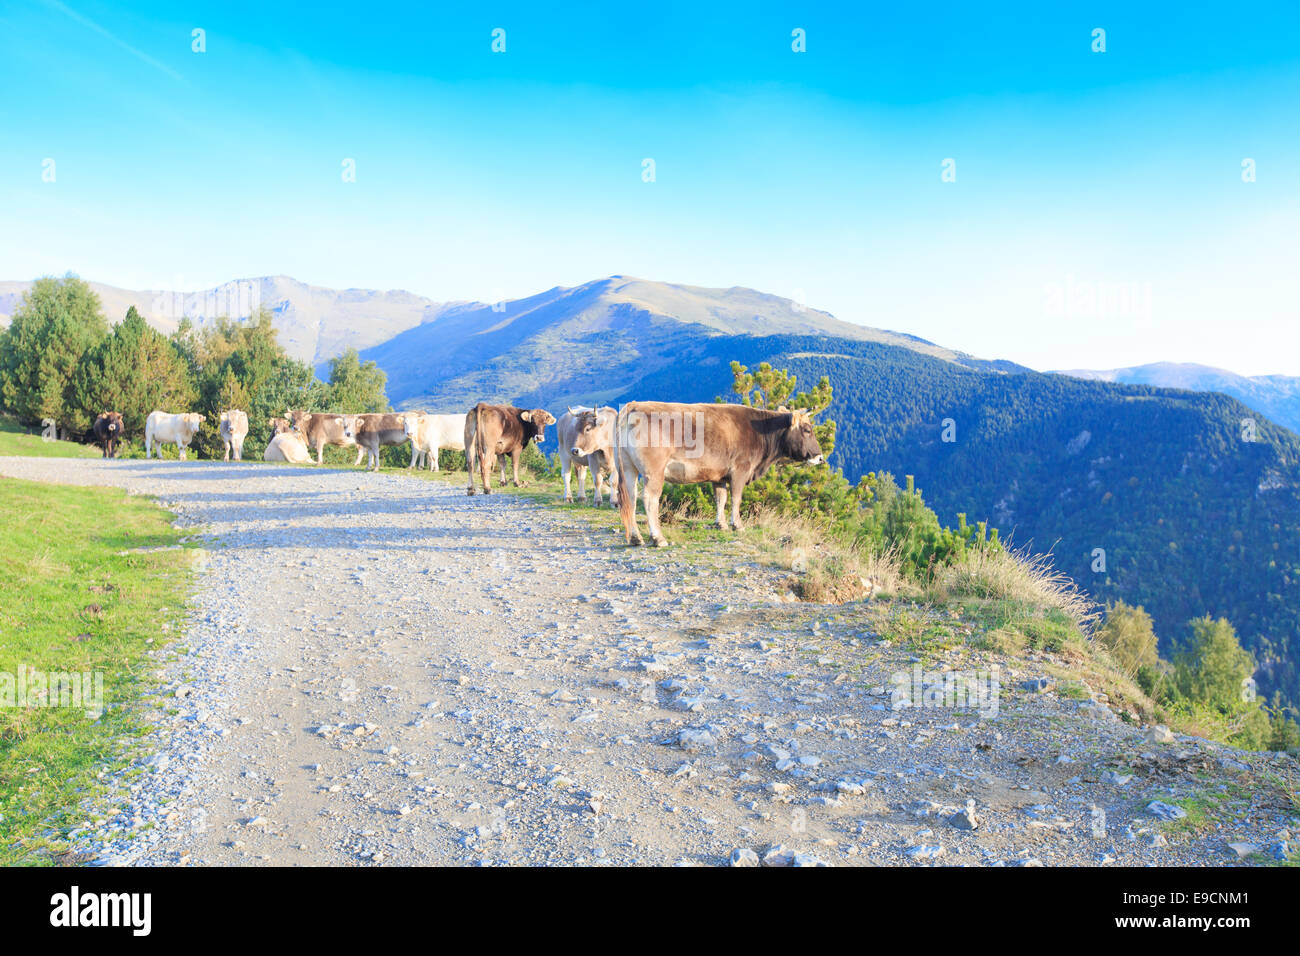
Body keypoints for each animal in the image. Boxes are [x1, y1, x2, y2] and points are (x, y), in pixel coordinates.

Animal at [616, 400, 821, 546]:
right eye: (807, 430)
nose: (820, 457)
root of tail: (634, 405)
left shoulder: (719, 475)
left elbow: (720, 498)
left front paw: (720, 524)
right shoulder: (740, 470)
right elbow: (736, 499)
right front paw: (737, 525)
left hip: (628, 468)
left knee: (630, 499)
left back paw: (635, 538)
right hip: (654, 471)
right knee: (650, 500)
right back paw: (658, 538)